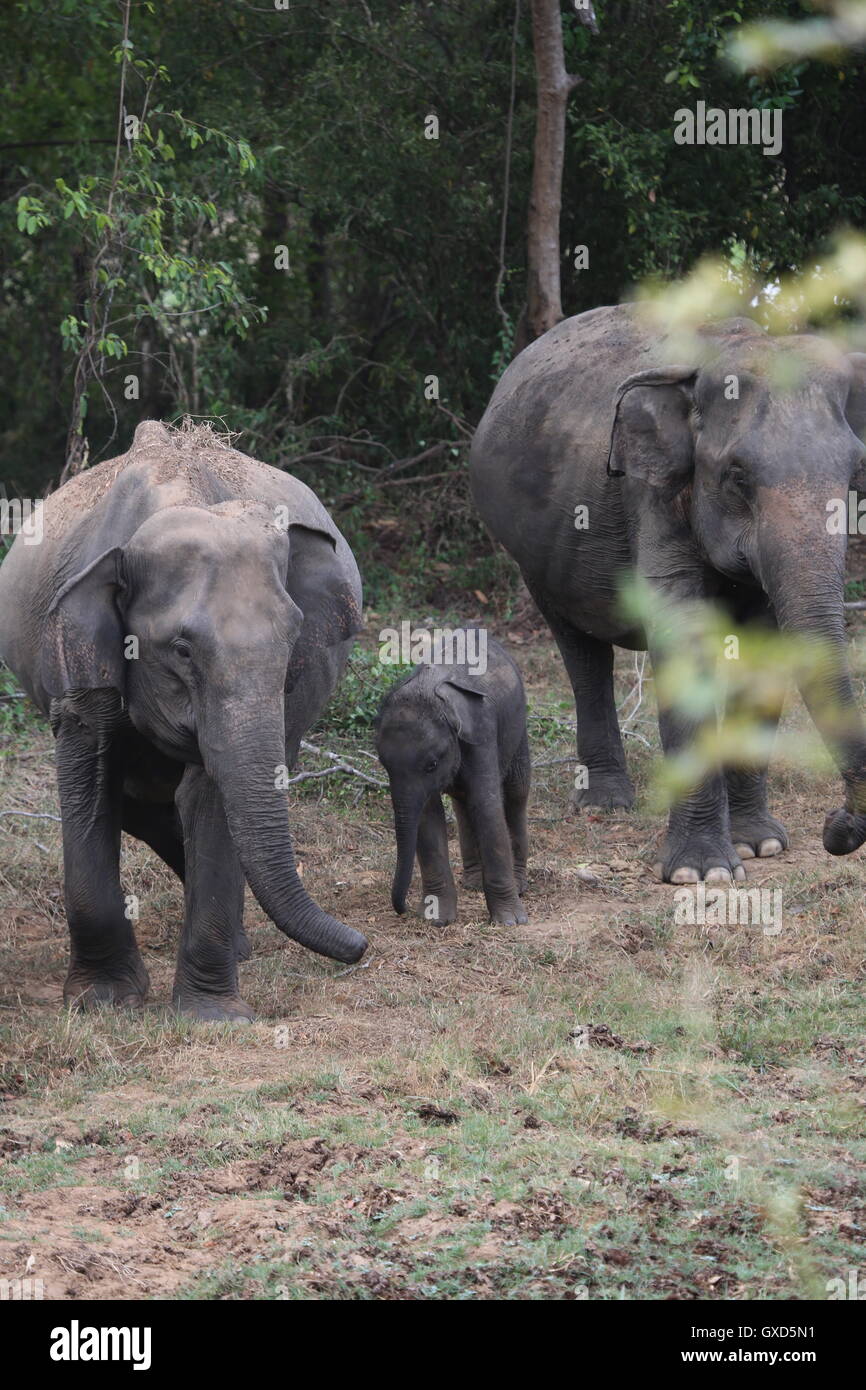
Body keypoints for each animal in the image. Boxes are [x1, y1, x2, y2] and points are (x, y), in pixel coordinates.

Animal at [375, 636, 530, 928]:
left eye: (432, 765)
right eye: (383, 765)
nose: (402, 909)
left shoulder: (481, 733)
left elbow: (487, 807)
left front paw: (510, 922)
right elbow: (428, 815)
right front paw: (436, 918)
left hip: (519, 727)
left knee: (516, 793)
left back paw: (518, 886)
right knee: (462, 802)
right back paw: (473, 884)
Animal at [469, 308, 866, 884]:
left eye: (855, 471)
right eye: (737, 475)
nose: (836, 828)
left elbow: (762, 649)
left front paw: (760, 845)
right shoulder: (650, 491)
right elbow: (682, 639)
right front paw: (702, 873)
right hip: (532, 557)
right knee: (582, 652)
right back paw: (605, 805)